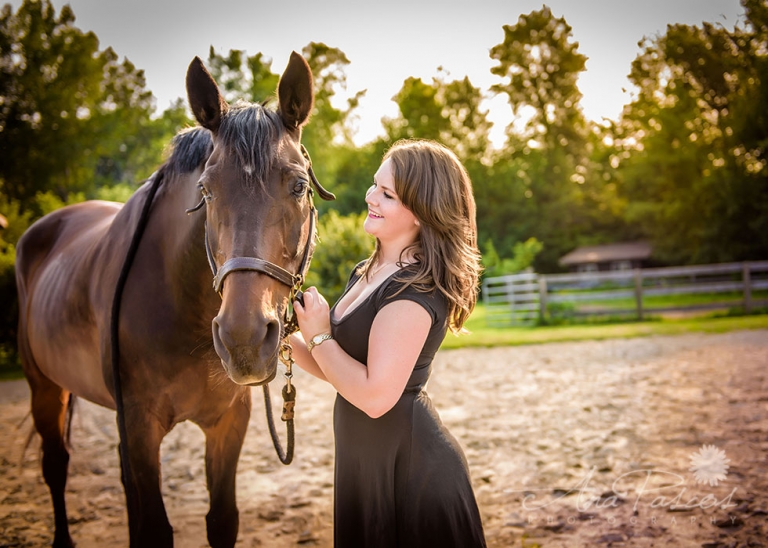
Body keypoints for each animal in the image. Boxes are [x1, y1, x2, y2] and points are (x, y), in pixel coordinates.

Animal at [15, 52, 330, 547]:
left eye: (299, 186)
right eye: (205, 190)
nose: (242, 339)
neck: (183, 306)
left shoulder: (227, 422)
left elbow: (221, 520)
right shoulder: (140, 427)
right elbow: (155, 528)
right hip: (44, 386)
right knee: (56, 464)